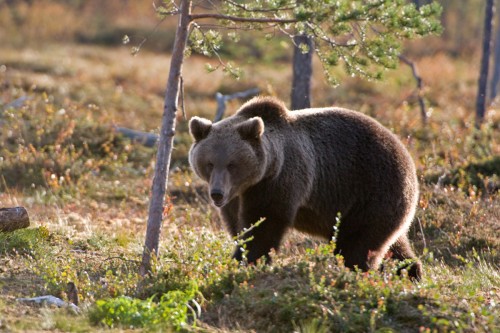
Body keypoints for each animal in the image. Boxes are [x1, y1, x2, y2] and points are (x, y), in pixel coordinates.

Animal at [189, 96, 424, 280]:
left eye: (232, 164)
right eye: (209, 163)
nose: (216, 193)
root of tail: (407, 157)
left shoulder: (280, 181)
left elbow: (265, 225)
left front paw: (246, 261)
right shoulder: (237, 197)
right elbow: (239, 227)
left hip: (373, 190)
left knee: (357, 245)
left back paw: (356, 273)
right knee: (394, 242)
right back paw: (410, 271)